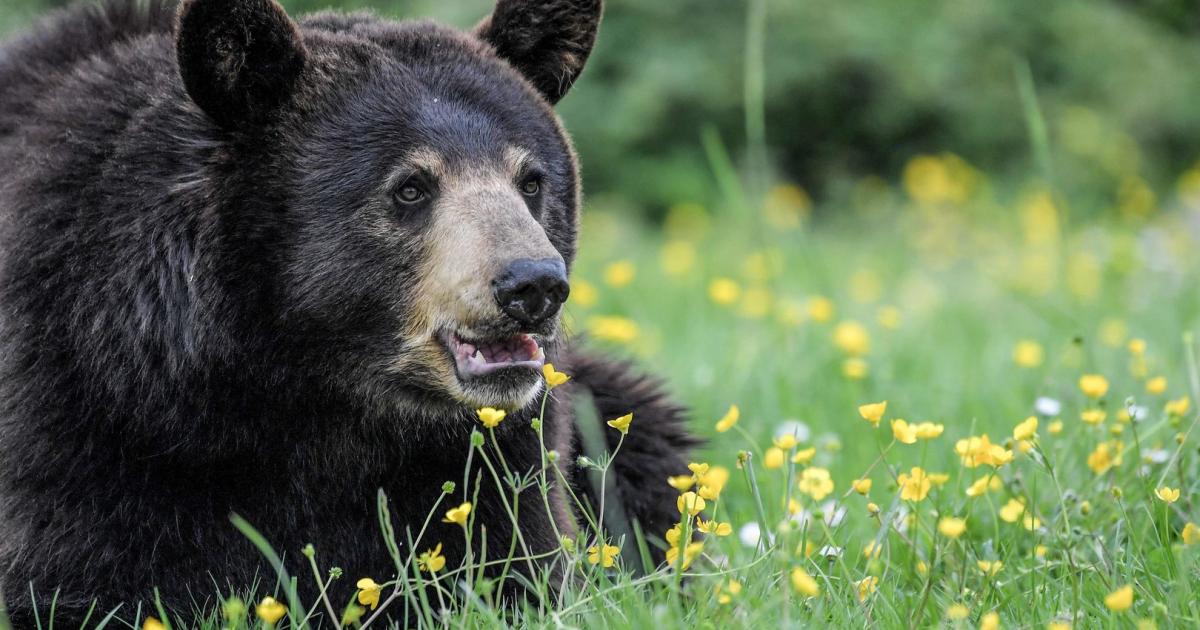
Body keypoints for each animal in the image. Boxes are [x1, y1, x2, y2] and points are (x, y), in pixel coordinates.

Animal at [0, 0, 696, 619]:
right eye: (410, 187)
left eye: (530, 181)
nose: (533, 285)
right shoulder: (90, 419)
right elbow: (84, 575)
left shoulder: (500, 452)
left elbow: (513, 563)